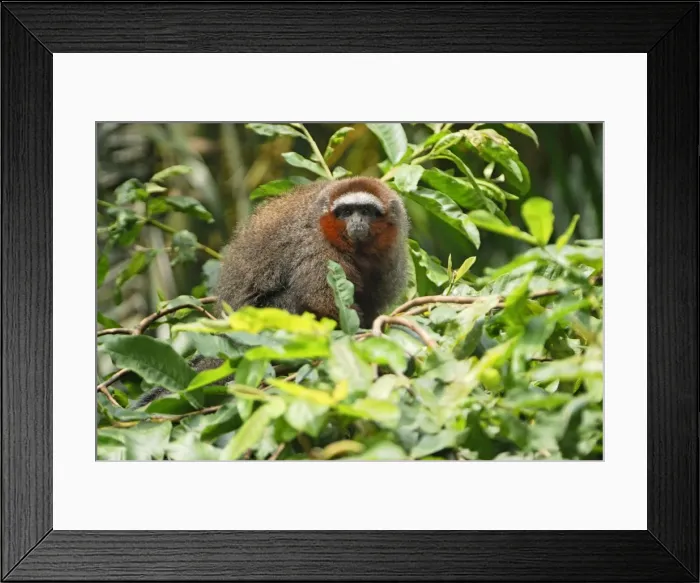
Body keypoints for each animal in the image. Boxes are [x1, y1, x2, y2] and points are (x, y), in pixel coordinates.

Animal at [132, 176, 409, 408]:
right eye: (346, 212)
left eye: (366, 212)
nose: (356, 222)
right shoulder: (316, 245)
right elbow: (320, 298)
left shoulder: (391, 254)